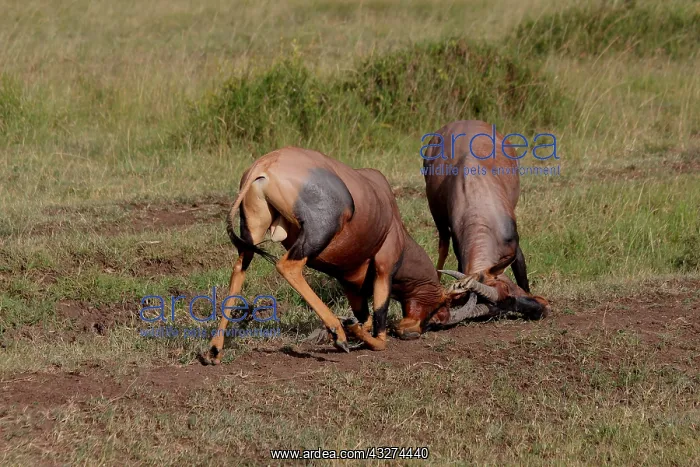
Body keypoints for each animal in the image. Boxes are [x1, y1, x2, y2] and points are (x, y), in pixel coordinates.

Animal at [201, 147, 491, 365]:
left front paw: (353, 328)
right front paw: (352, 331)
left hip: (250, 234)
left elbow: (364, 316)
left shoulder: (350, 282)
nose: (410, 332)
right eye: (439, 312)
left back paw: (215, 350)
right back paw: (338, 333)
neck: (389, 211)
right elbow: (379, 324)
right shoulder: (384, 267)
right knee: (288, 266)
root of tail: (262, 166)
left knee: (239, 269)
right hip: (319, 231)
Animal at [422, 120, 551, 319]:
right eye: (497, 312)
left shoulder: (513, 245)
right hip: (439, 218)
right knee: (443, 244)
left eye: (507, 287)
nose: (541, 309)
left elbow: (521, 270)